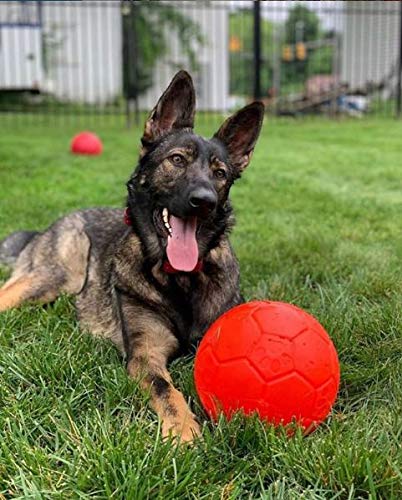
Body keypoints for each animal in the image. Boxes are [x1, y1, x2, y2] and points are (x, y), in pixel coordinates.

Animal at [0, 71, 266, 442]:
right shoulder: (145, 356)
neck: (179, 279)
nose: (205, 201)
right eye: (177, 160)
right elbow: (166, 390)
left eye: (220, 173)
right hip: (53, 278)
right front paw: (184, 433)